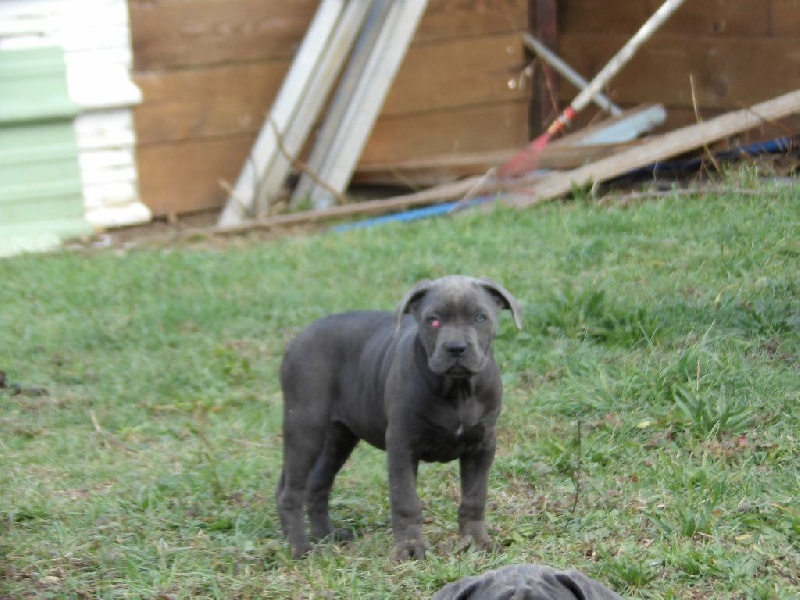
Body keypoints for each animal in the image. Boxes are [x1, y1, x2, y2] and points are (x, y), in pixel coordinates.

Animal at [276, 275, 522, 560]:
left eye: (480, 318)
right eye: (433, 320)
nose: (456, 348)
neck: (457, 389)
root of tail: (297, 339)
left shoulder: (482, 446)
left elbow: (475, 497)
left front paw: (477, 543)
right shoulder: (402, 445)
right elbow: (405, 499)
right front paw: (410, 548)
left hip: (338, 438)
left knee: (316, 484)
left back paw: (326, 535)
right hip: (305, 427)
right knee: (291, 492)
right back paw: (300, 548)